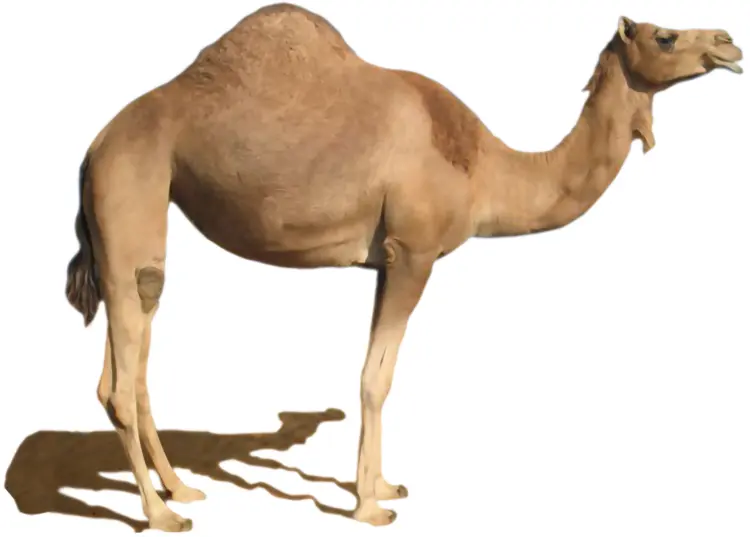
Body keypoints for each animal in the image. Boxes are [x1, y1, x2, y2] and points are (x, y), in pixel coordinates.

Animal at [64, 2, 743, 532]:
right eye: (665, 36)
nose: (729, 42)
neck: (488, 167)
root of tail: (92, 149)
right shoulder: (413, 253)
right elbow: (376, 378)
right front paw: (370, 507)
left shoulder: (384, 260)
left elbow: (379, 372)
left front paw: (383, 486)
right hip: (132, 190)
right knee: (123, 376)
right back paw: (161, 514)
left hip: (136, 228)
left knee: (131, 360)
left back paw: (181, 488)